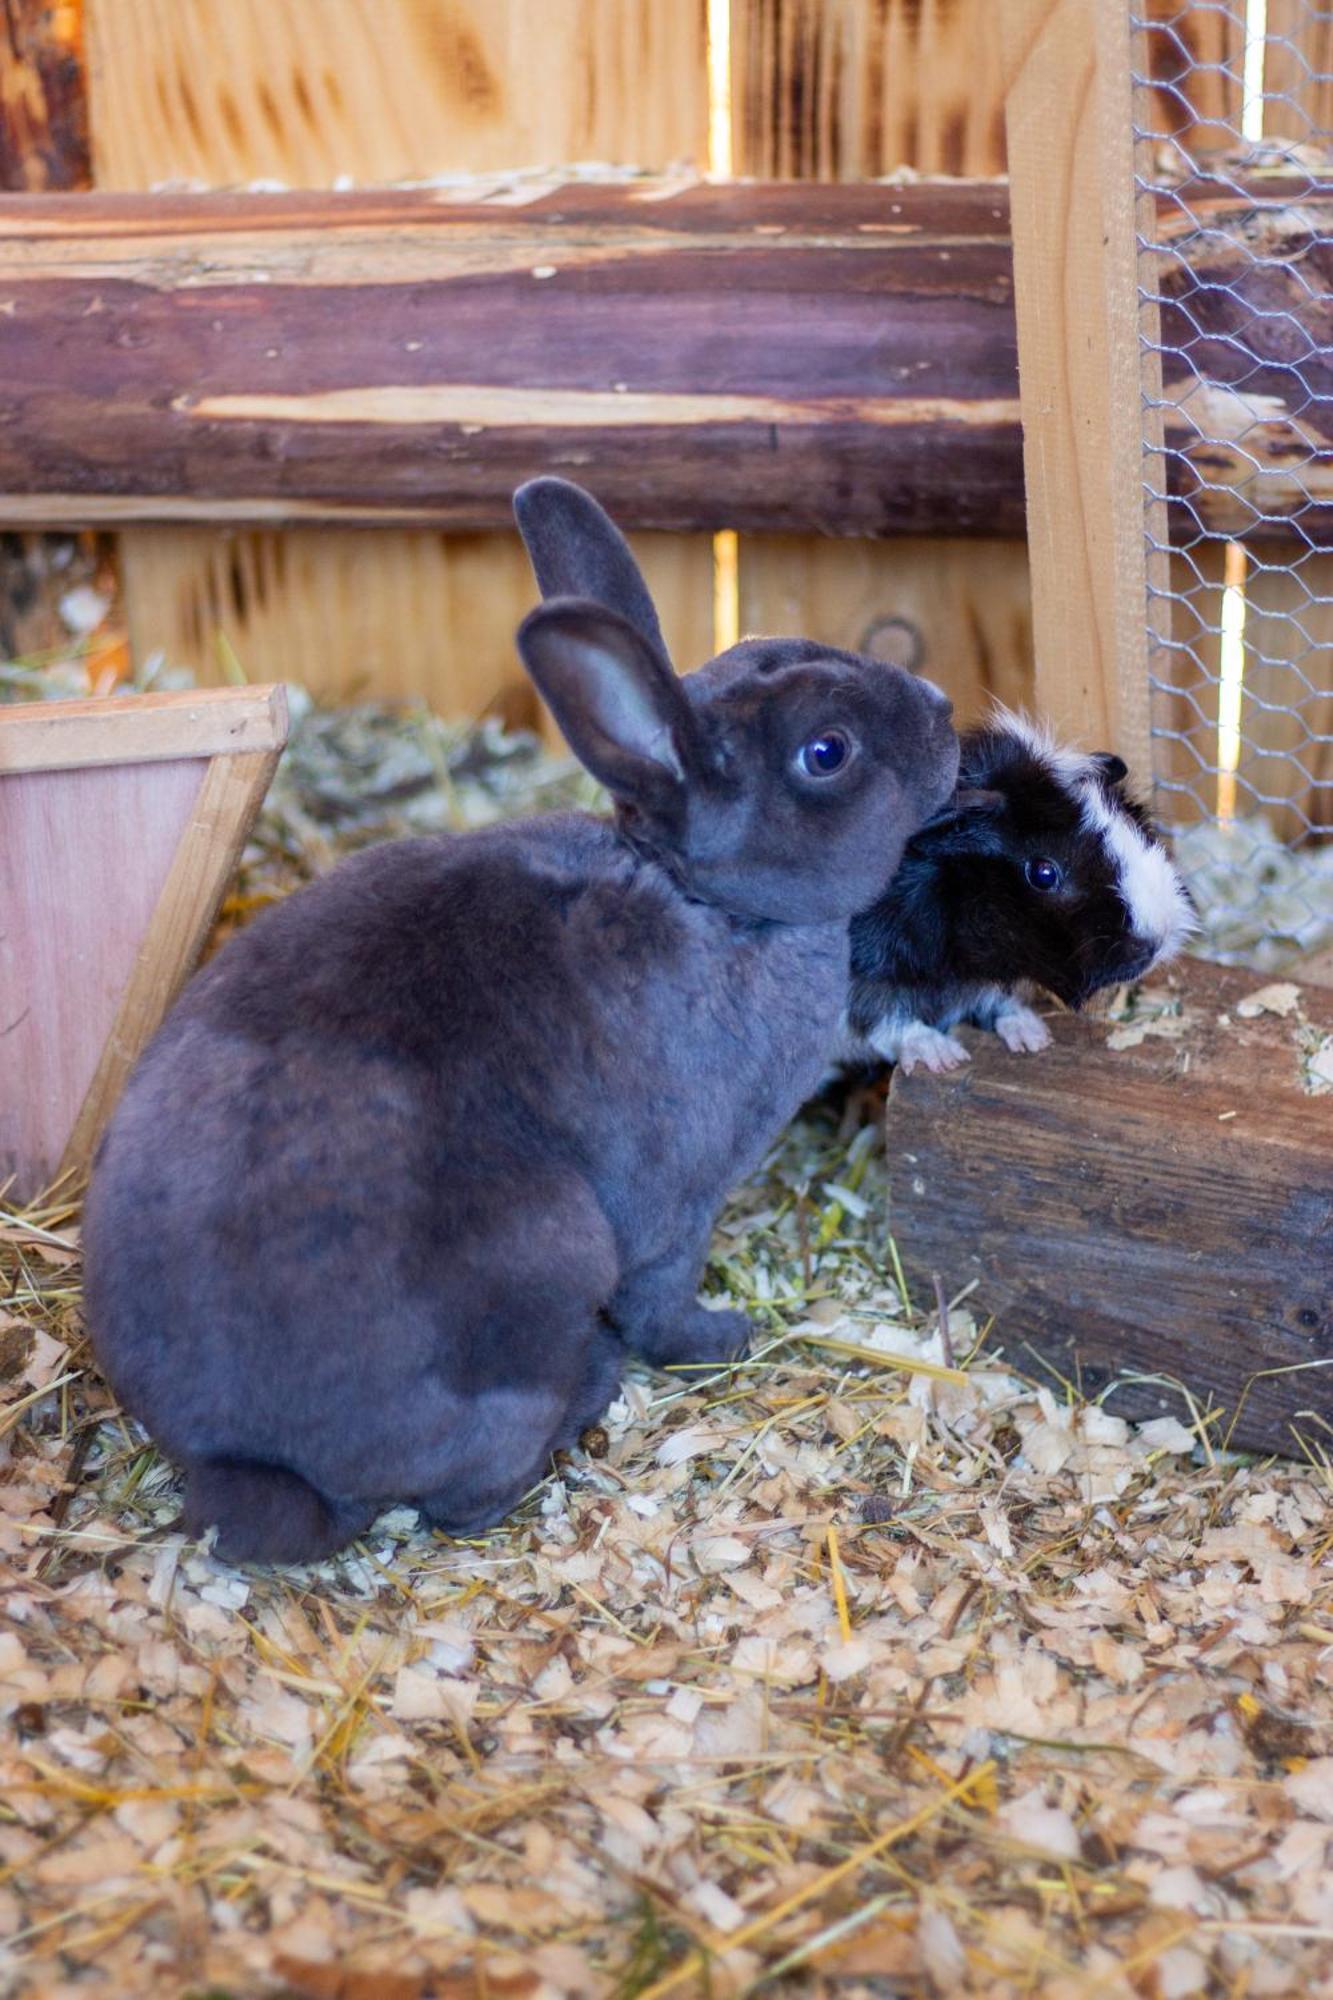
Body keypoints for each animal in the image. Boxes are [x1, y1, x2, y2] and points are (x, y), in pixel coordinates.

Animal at [83, 480, 956, 1560]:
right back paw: (586, 1395)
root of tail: (231, 1459)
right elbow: (663, 1295)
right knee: (463, 1496)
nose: (944, 712)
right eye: (825, 752)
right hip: (551, 1252)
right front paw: (718, 1340)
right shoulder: (678, 1202)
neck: (702, 902)